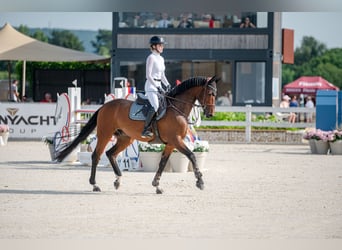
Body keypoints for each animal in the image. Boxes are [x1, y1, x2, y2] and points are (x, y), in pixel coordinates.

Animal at [54, 75, 218, 193]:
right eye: (210, 93)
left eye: (215, 94)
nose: (210, 114)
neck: (176, 108)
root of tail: (105, 106)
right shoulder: (176, 140)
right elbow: (191, 155)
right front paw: (200, 182)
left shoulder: (171, 143)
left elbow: (162, 163)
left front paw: (157, 185)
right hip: (105, 134)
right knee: (97, 155)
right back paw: (95, 185)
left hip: (125, 138)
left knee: (110, 154)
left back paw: (118, 180)